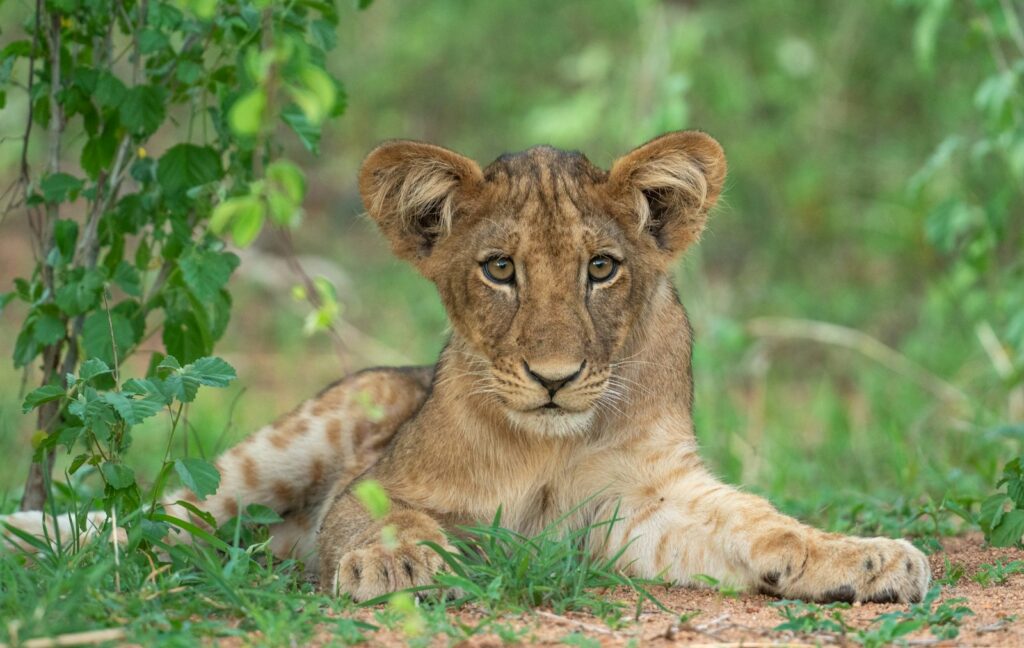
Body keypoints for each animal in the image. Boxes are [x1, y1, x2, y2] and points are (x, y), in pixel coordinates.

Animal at [3, 131, 930, 604]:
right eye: (500, 269)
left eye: (601, 268)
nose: (555, 377)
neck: (551, 441)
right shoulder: (380, 479)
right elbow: (377, 514)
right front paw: (395, 563)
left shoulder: (644, 505)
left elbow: (763, 523)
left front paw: (870, 558)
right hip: (322, 423)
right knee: (161, 520)